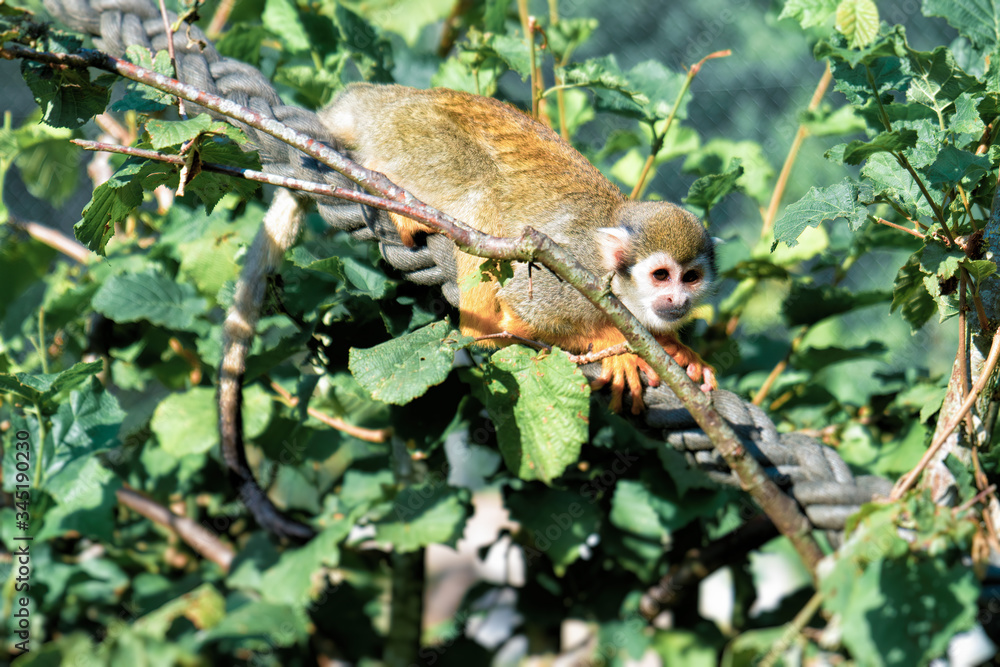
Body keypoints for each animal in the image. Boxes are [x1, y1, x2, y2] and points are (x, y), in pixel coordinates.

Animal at [319, 83, 717, 413]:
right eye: (661, 275)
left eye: (690, 278)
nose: (678, 300)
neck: (617, 287)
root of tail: (393, 98)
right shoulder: (572, 281)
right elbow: (523, 308)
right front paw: (614, 343)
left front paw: (675, 347)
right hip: (413, 138)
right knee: (480, 194)